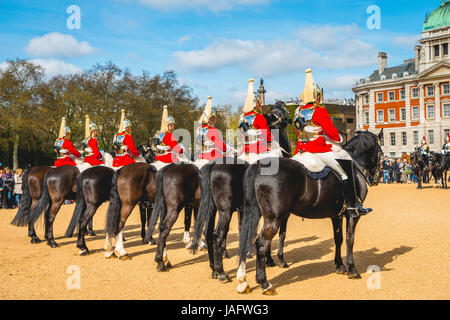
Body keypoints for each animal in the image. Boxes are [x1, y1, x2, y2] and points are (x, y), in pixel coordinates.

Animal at [237, 129, 382, 296]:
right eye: (380, 152)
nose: (376, 178)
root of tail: (259, 165)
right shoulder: (353, 215)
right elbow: (349, 239)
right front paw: (352, 269)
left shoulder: (336, 215)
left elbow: (338, 239)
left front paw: (340, 266)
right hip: (274, 219)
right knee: (261, 243)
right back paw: (265, 283)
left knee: (247, 241)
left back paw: (243, 281)